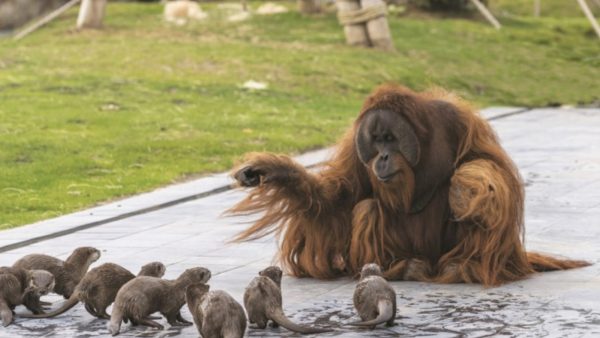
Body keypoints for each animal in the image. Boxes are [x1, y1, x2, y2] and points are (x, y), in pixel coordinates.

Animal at [22, 262, 165, 320]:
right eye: (162, 266)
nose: (164, 267)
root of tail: (83, 284)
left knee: (89, 305)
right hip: (103, 293)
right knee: (100, 309)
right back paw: (107, 317)